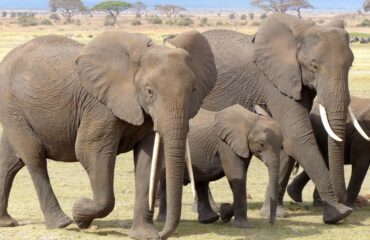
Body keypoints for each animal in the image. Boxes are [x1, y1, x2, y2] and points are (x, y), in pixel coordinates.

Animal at [0, 30, 217, 240]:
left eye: (193, 90)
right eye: (149, 92)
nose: (162, 234)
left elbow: (147, 160)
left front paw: (145, 235)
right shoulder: (99, 106)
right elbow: (90, 150)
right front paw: (80, 214)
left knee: (10, 160)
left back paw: (7, 222)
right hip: (13, 106)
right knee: (33, 156)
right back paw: (62, 222)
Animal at [201, 13, 356, 223]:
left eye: (351, 65)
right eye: (314, 65)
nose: (344, 202)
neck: (302, 31)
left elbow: (285, 143)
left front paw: (275, 214)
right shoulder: (274, 83)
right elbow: (297, 137)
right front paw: (338, 214)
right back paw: (211, 213)